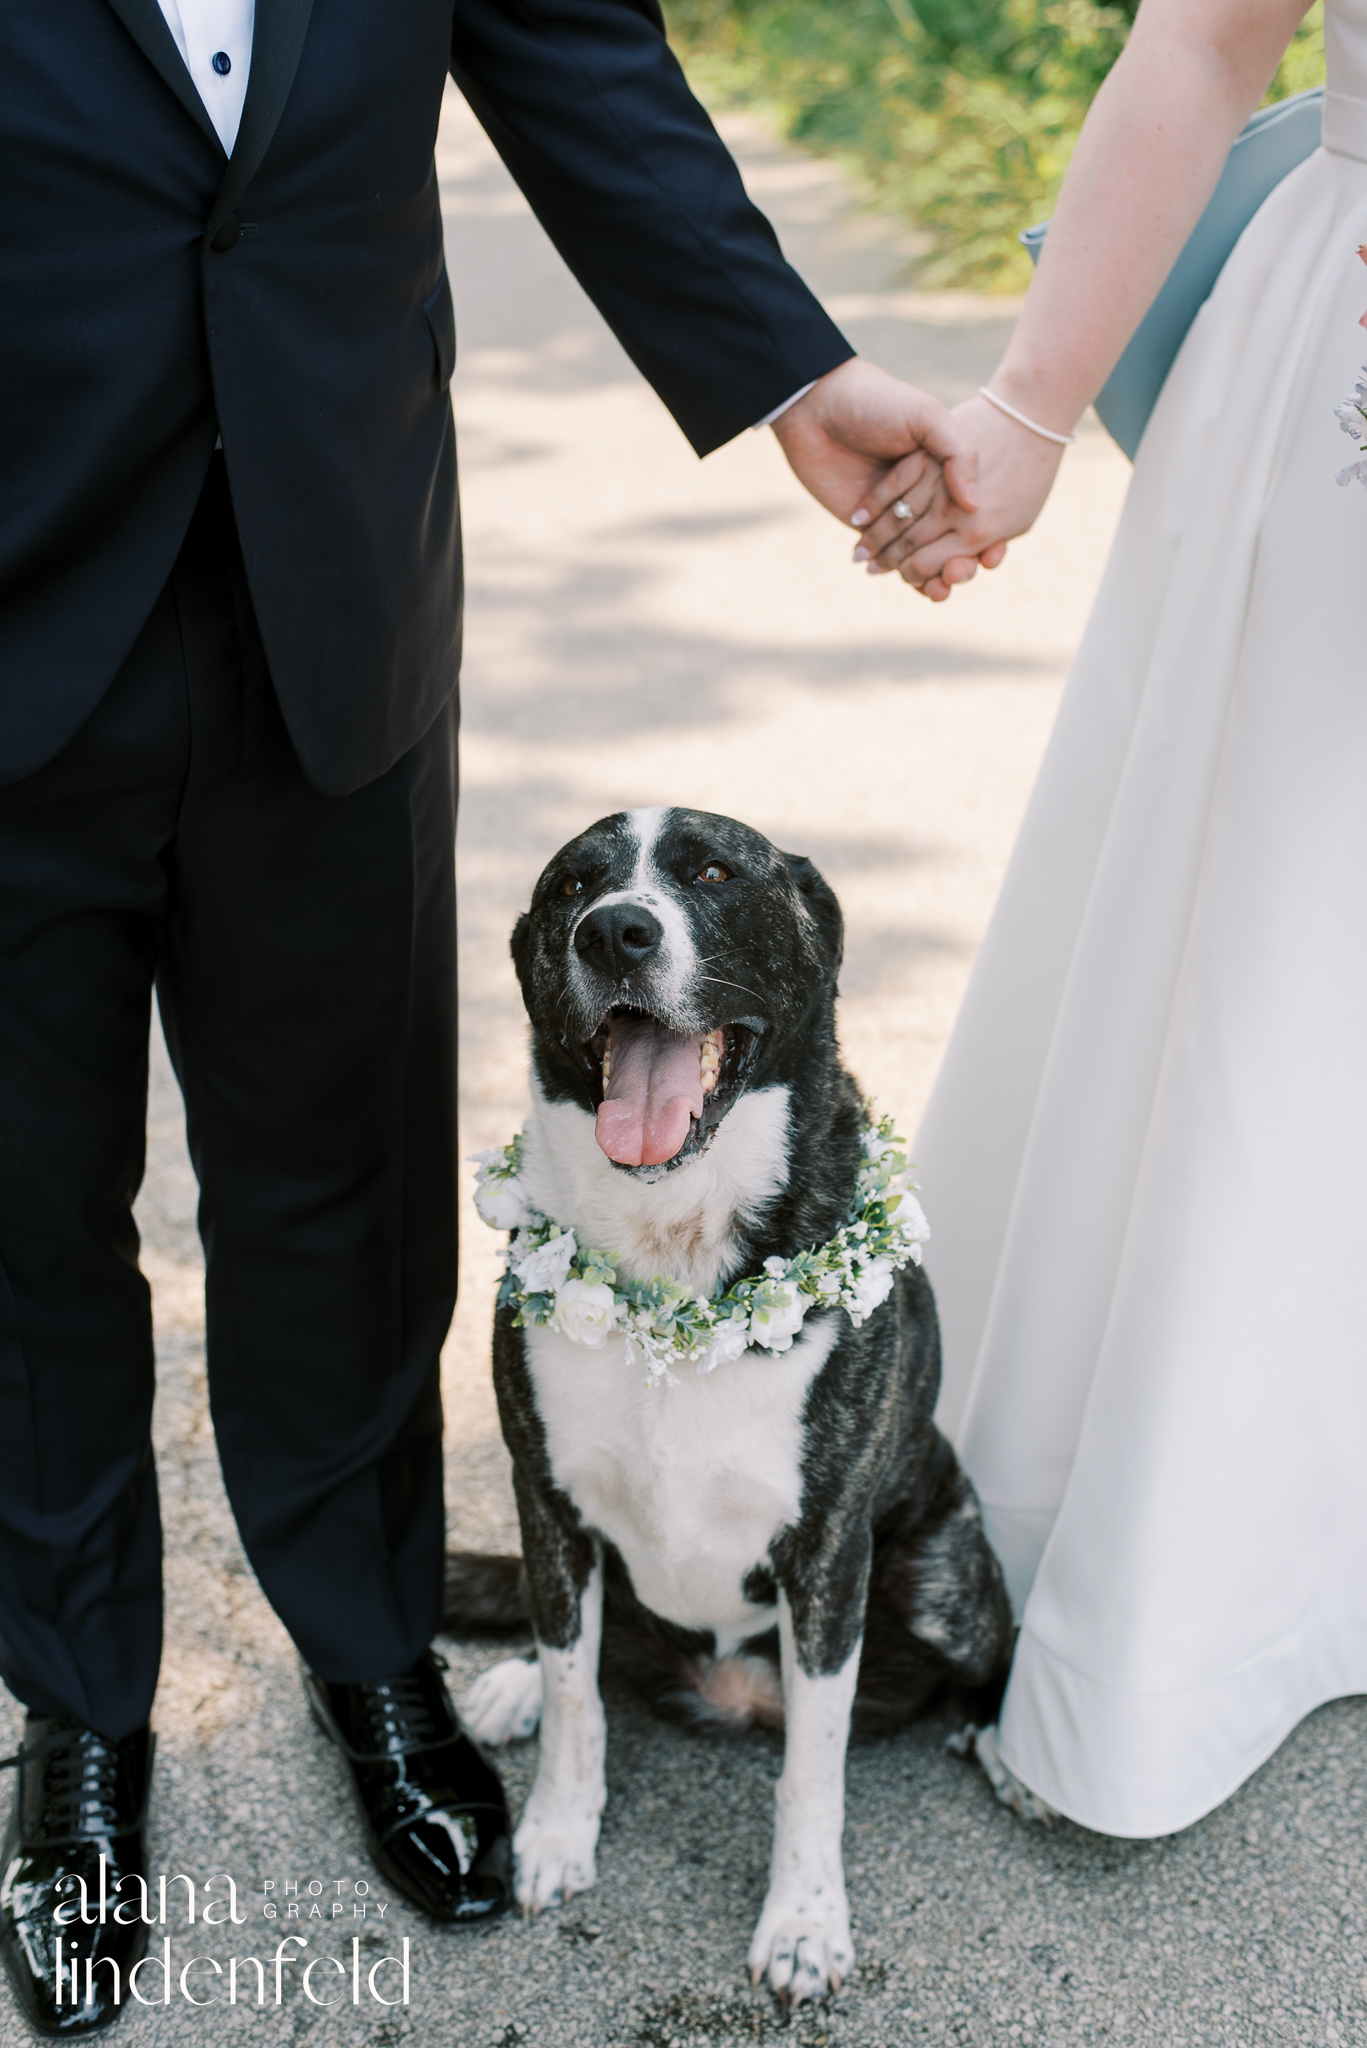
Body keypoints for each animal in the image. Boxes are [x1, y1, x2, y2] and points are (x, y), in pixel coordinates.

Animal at [448, 806, 1016, 2007]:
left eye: (711, 872)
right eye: (571, 886)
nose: (614, 932)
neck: (674, 1256)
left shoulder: (827, 1553)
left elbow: (812, 1767)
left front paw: (802, 1920)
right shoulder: (546, 1502)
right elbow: (576, 1694)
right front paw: (555, 1832)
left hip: (942, 1578)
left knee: (990, 1649)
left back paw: (1004, 1749)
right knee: (578, 1651)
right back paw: (511, 1687)